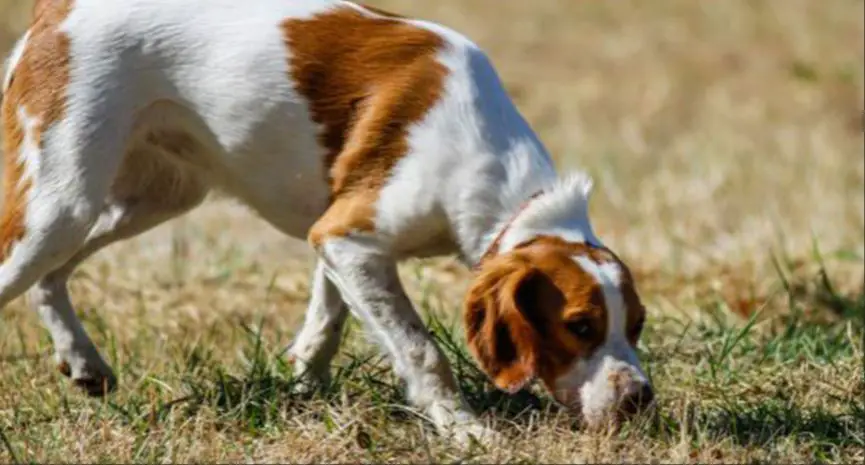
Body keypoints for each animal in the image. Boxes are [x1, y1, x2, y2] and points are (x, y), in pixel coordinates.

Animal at [0, 0, 648, 440]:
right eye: (580, 326)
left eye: (637, 326)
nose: (640, 398)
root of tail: (60, 10)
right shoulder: (350, 238)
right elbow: (420, 348)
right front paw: (461, 427)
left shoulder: (337, 236)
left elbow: (328, 319)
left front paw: (304, 385)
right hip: (61, 202)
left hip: (153, 197)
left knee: (50, 278)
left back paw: (83, 361)